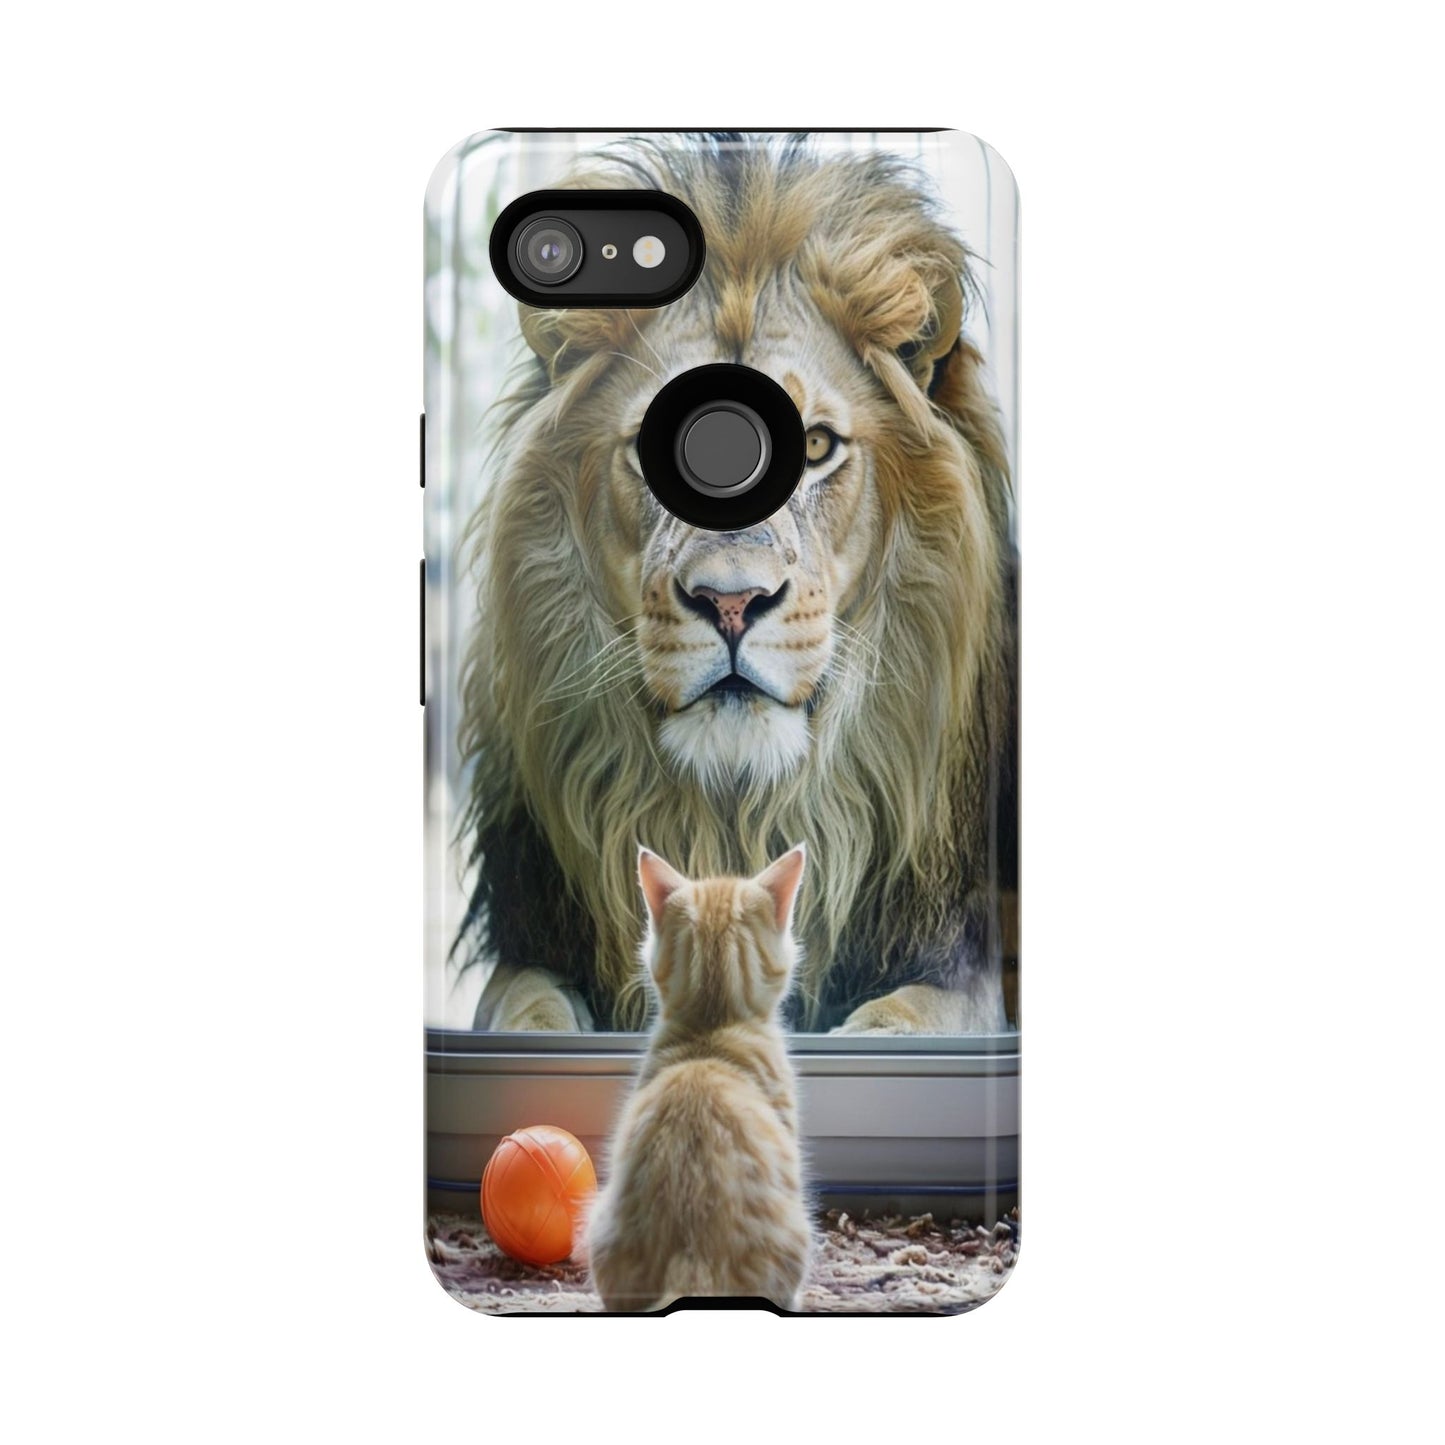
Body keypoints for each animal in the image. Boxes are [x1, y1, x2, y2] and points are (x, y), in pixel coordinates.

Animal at [456, 134, 1017, 1035]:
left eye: (815, 445)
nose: (729, 603)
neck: (737, 818)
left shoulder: (961, 964)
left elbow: (907, 1017)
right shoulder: (533, 946)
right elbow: (523, 1012)